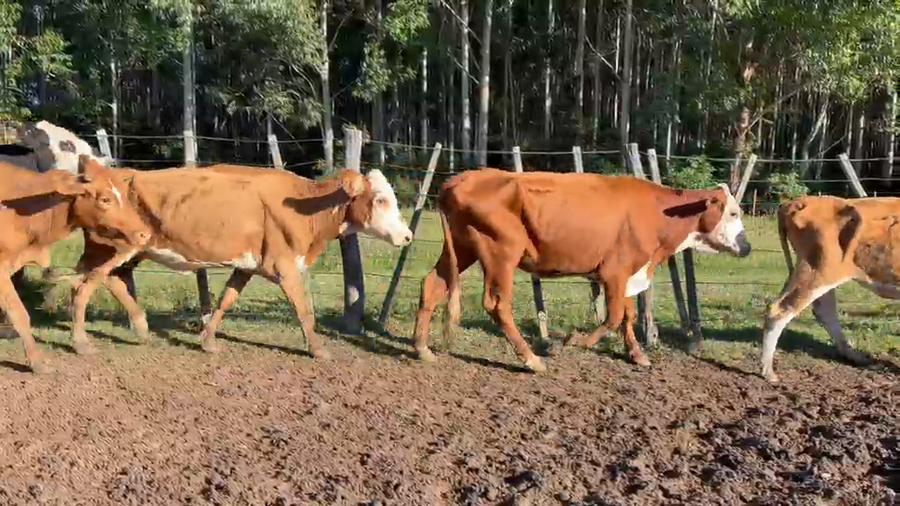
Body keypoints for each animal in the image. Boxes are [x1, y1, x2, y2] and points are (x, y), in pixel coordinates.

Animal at [57, 163, 412, 359]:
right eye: (381, 199)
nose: (407, 235)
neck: (306, 205)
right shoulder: (284, 266)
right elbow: (303, 310)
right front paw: (318, 349)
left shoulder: (247, 265)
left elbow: (227, 298)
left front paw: (208, 340)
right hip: (112, 249)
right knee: (83, 287)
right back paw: (81, 342)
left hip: (129, 251)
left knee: (112, 280)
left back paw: (142, 328)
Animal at [413, 168, 751, 372]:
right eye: (733, 212)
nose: (746, 247)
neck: (657, 211)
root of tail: (458, 181)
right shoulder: (615, 272)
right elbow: (613, 316)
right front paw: (575, 341)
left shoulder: (629, 274)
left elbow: (627, 315)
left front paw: (636, 354)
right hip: (500, 253)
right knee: (498, 305)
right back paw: (532, 359)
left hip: (462, 250)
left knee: (432, 286)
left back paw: (422, 348)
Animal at [761, 195, 898, 382]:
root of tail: (803, 200)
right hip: (819, 271)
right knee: (779, 311)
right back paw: (768, 372)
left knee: (825, 311)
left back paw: (855, 356)